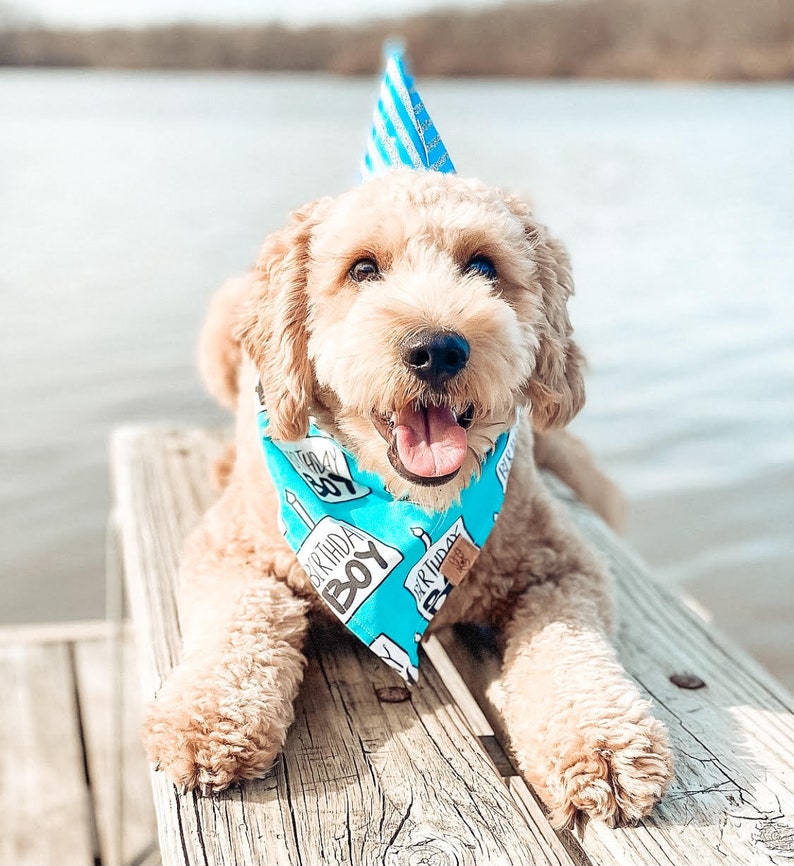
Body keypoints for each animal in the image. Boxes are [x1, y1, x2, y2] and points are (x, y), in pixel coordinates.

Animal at [142, 167, 668, 824]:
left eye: (484, 265)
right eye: (363, 269)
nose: (437, 349)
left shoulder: (561, 565)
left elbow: (569, 648)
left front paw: (603, 743)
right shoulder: (227, 550)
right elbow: (238, 625)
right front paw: (207, 719)